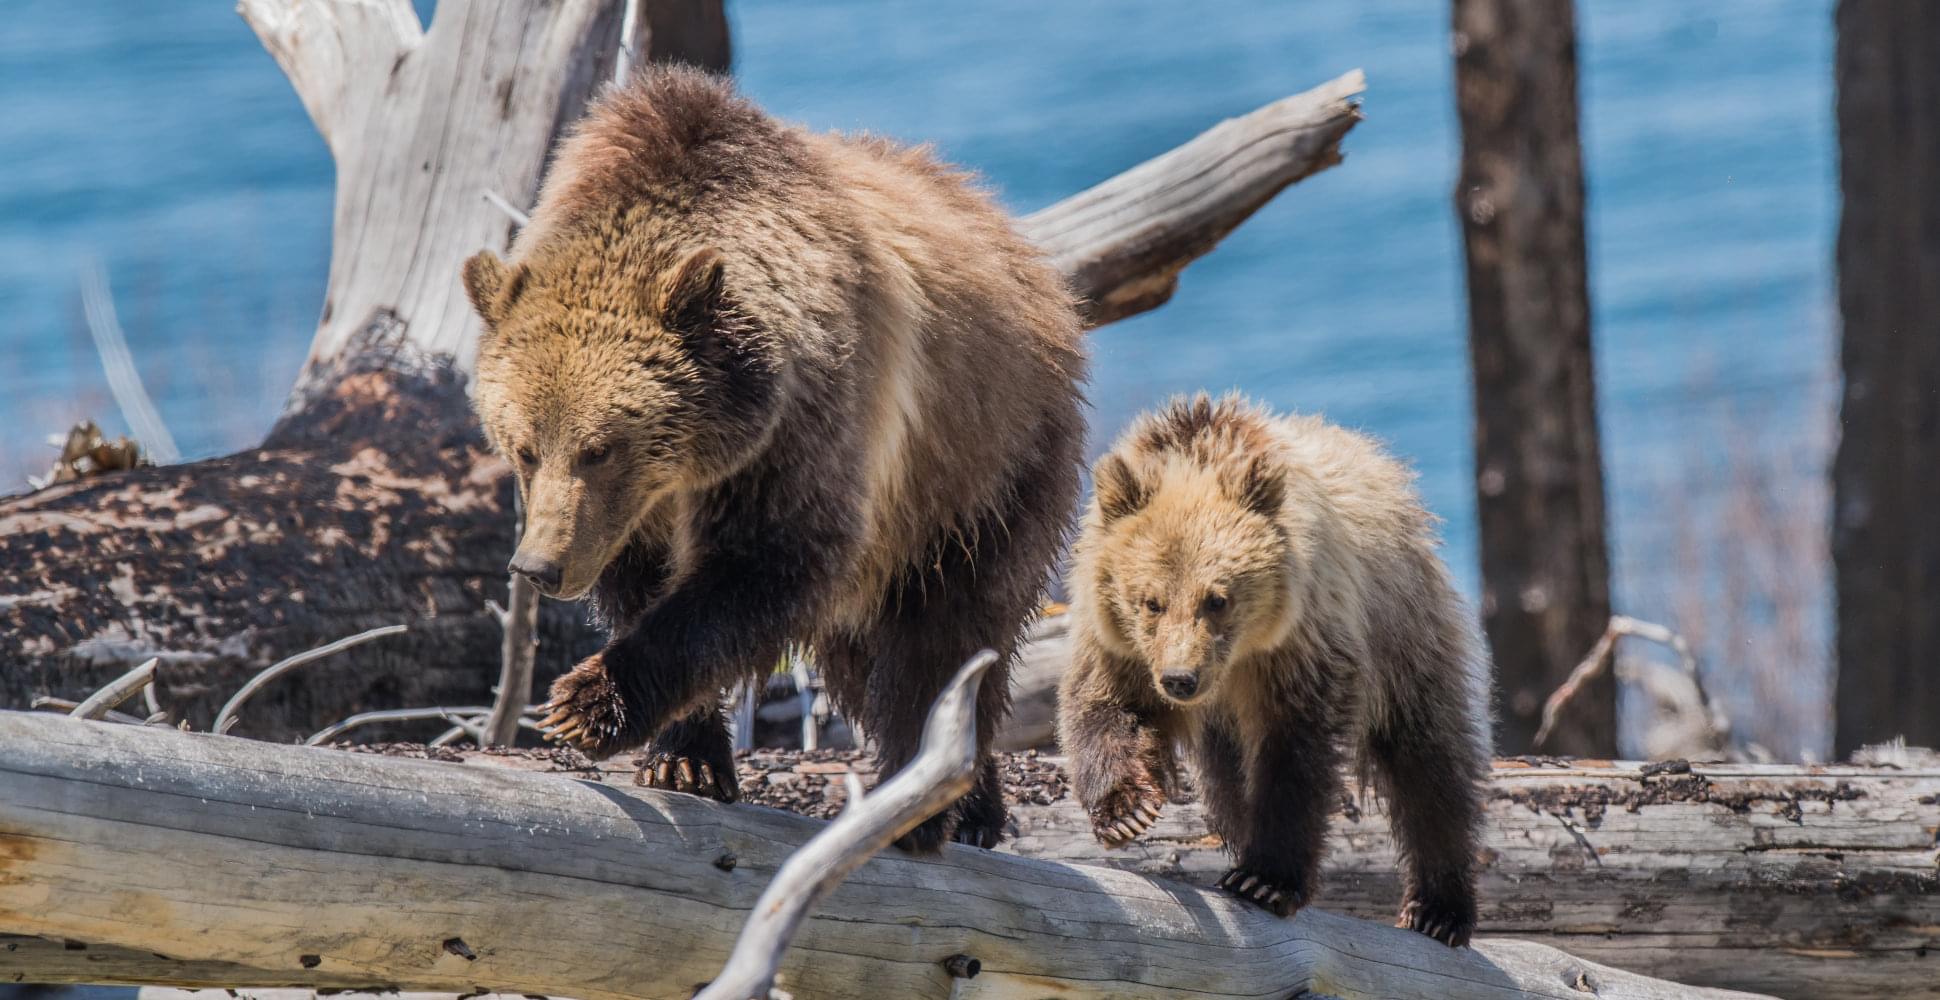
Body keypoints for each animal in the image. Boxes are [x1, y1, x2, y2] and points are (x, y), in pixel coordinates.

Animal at [461, 67, 1087, 851]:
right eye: (522, 447)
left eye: (598, 448)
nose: (538, 567)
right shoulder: (642, 513)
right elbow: (645, 583)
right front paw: (685, 758)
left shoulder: (799, 430)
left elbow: (768, 561)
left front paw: (587, 702)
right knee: (863, 658)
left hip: (983, 468)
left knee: (945, 639)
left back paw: (928, 803)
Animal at [1056, 393, 1490, 946]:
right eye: (1150, 601)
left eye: (1217, 599)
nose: (1180, 680)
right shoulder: (1120, 643)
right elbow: (1105, 706)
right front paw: (1126, 812)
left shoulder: (1302, 644)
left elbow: (1295, 753)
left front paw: (1266, 879)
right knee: (1226, 778)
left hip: (1403, 629)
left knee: (1427, 759)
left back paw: (1438, 909)